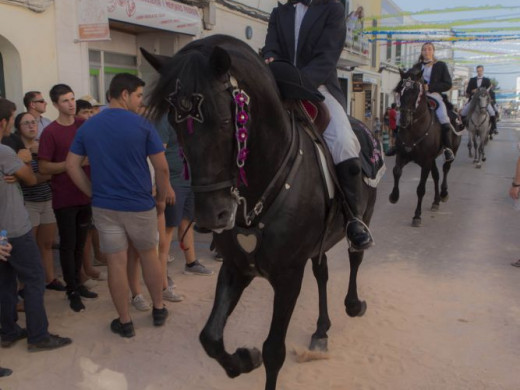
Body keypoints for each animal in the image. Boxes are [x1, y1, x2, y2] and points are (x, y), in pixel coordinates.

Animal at [144, 34, 380, 390]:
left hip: (363, 217)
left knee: (355, 256)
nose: (212, 217)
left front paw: (255, 356)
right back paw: (321, 330)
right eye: (174, 123)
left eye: (226, 120)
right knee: (322, 272)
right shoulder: (236, 267)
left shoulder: (288, 277)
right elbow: (210, 338)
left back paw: (354, 304)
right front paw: (244, 359)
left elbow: (274, 351)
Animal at [390, 67, 460, 225]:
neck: (413, 129)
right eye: (399, 89)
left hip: (451, 152)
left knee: (445, 169)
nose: (404, 119)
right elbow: (396, 171)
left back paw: (444, 194)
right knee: (436, 176)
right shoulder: (403, 155)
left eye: (415, 91)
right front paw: (394, 196)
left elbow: (421, 188)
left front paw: (417, 215)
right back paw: (436, 201)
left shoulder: (426, 161)